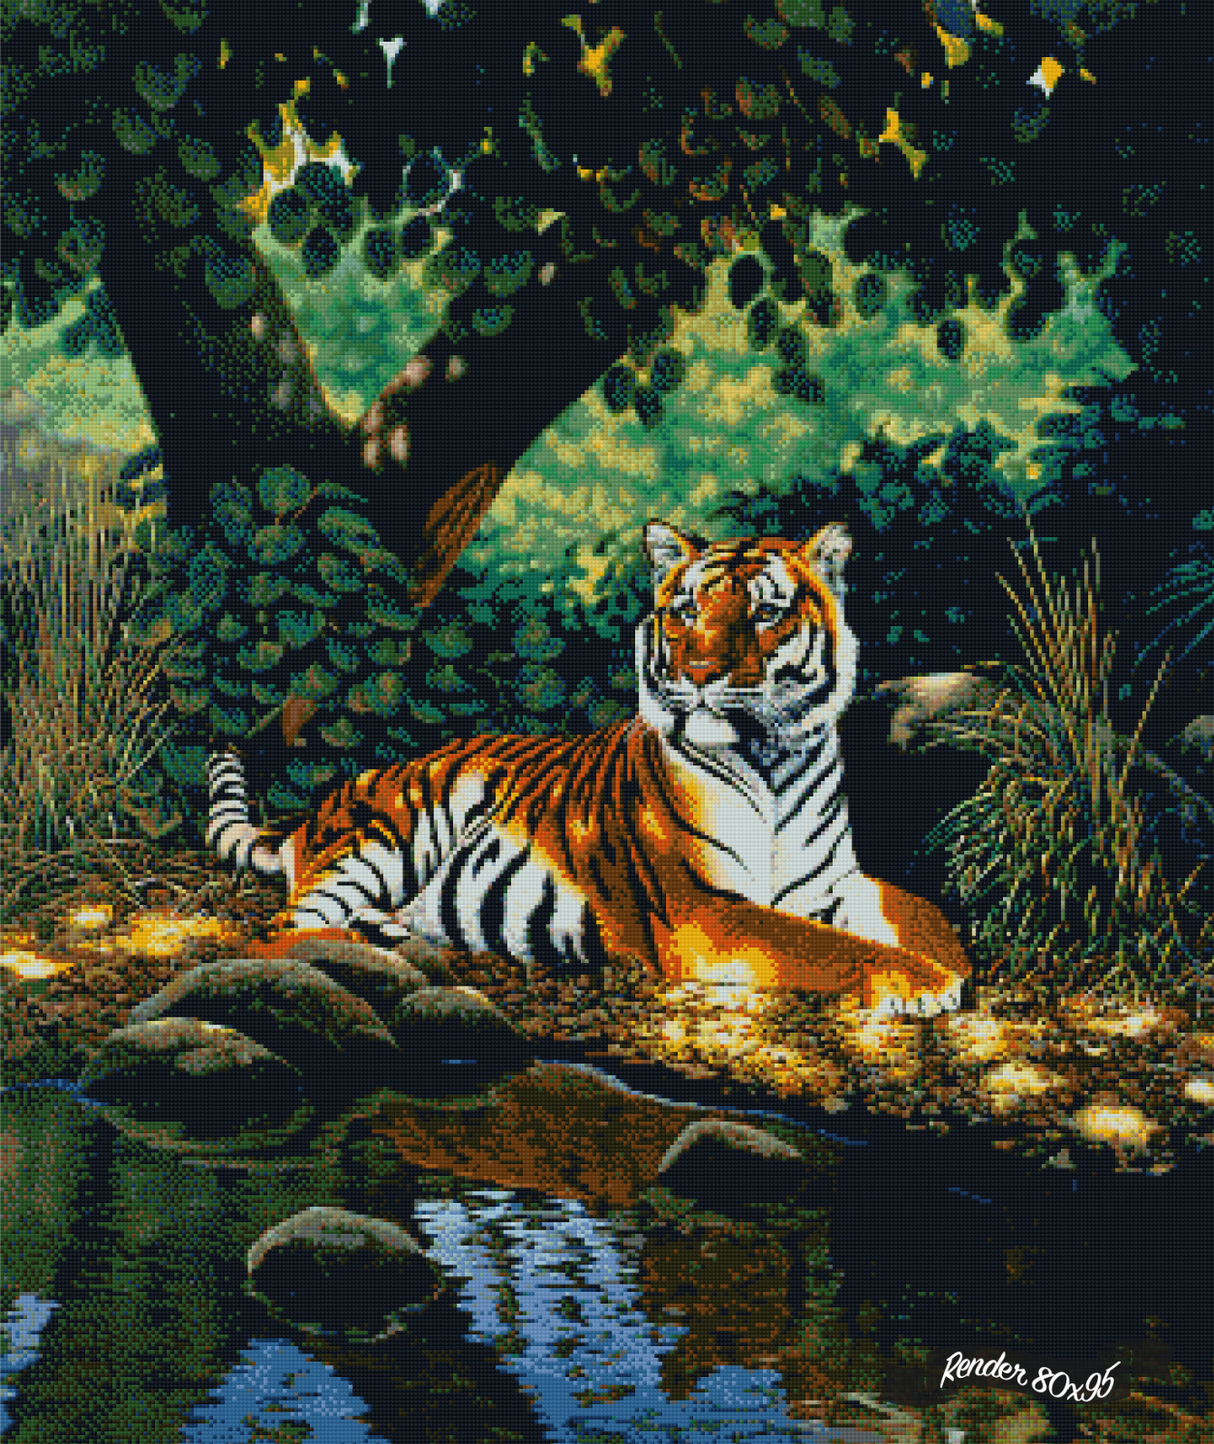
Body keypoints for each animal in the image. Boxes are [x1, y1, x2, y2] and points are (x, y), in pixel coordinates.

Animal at [207, 521, 971, 1016]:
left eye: (764, 614)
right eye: (685, 611)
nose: (698, 673)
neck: (773, 758)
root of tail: (316, 810)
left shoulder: (834, 881)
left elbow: (917, 907)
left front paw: (954, 962)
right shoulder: (705, 909)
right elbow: (824, 944)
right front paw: (925, 983)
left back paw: (396, 935)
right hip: (391, 832)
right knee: (280, 933)